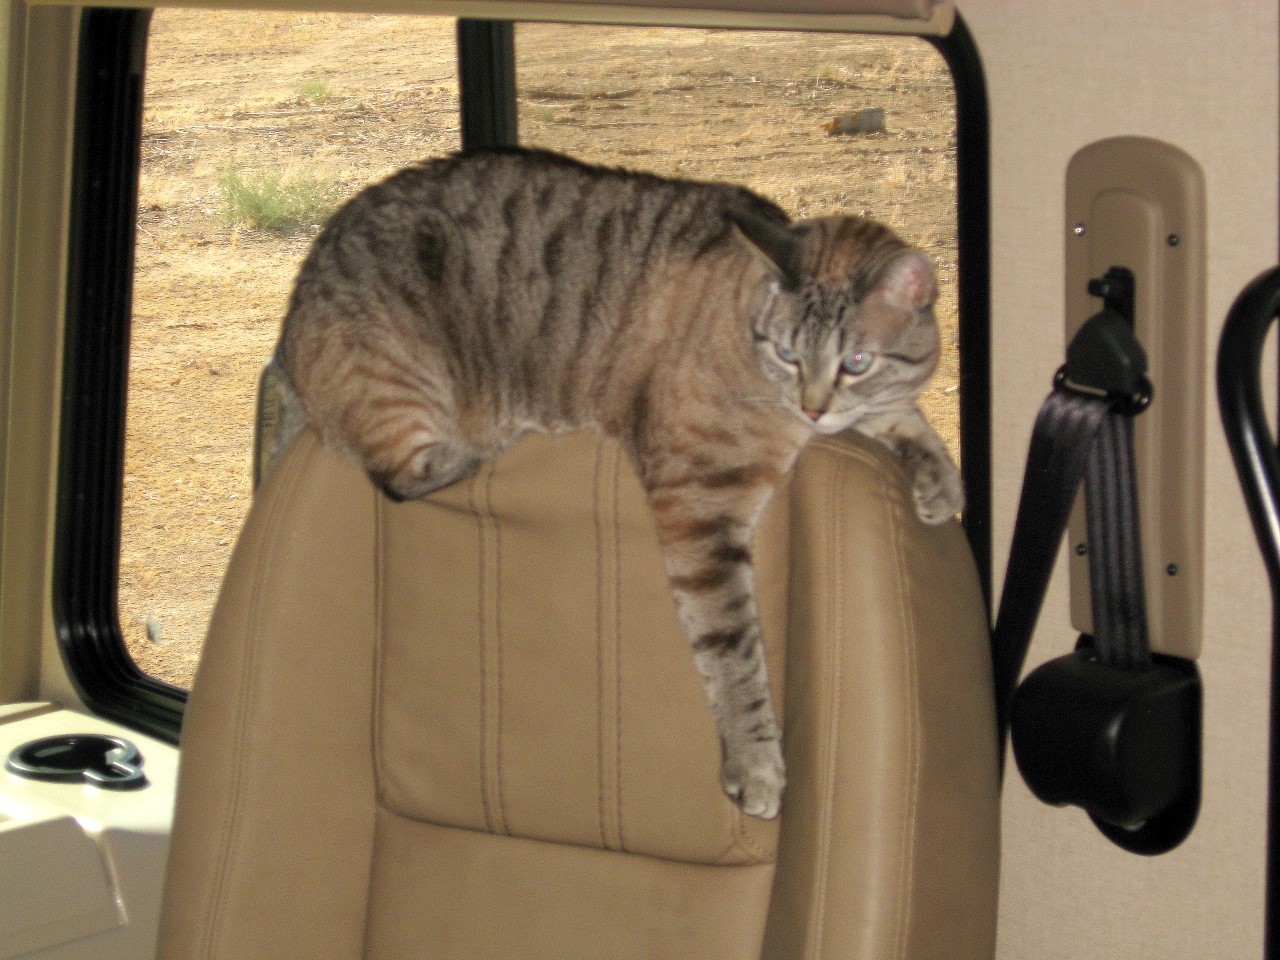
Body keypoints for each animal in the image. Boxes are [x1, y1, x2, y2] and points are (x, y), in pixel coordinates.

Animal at [270, 148, 962, 819]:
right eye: (790, 354)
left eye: (856, 362)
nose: (813, 408)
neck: (748, 328)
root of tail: (295, 309)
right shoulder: (701, 509)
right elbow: (734, 655)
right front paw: (756, 764)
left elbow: (902, 416)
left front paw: (941, 483)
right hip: (405, 393)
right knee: (400, 474)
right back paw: (497, 434)